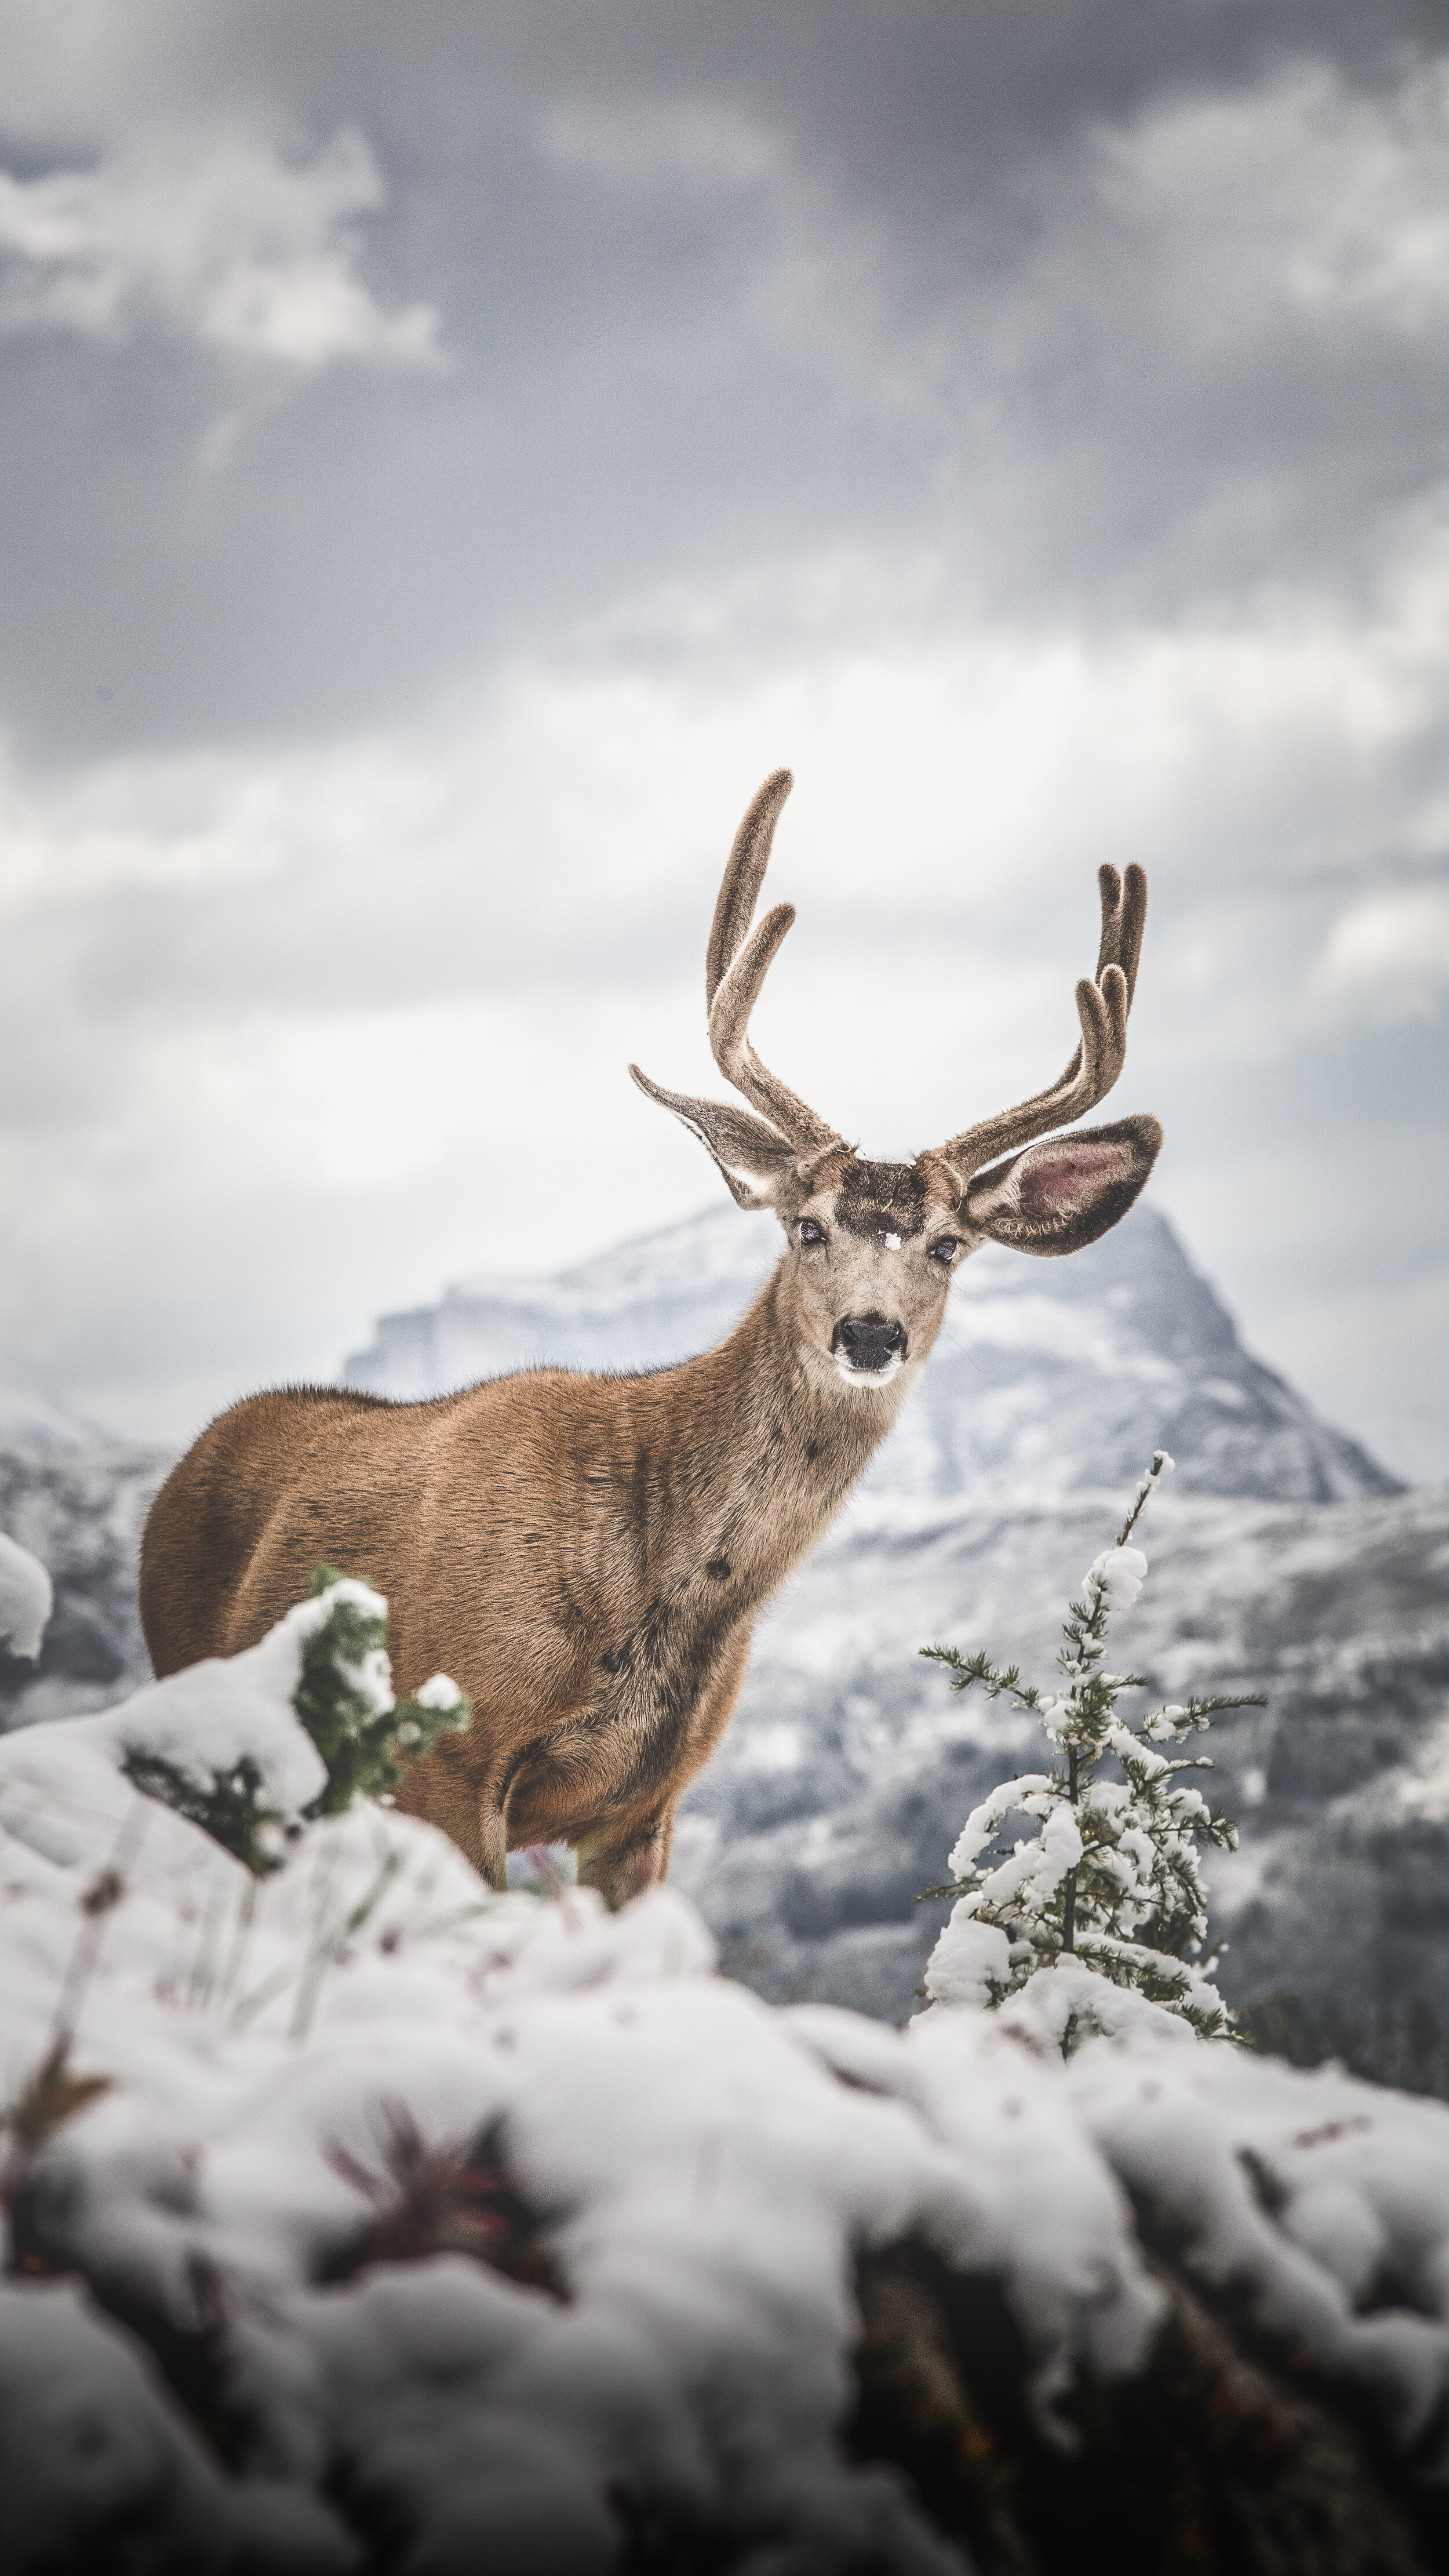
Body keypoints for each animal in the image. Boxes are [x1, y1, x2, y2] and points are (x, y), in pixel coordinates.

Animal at [141, 773, 1163, 1906]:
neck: (658, 1587)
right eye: (808, 1227)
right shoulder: (445, 1760)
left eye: (947, 1245)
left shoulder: (647, 1805)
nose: (869, 1332)